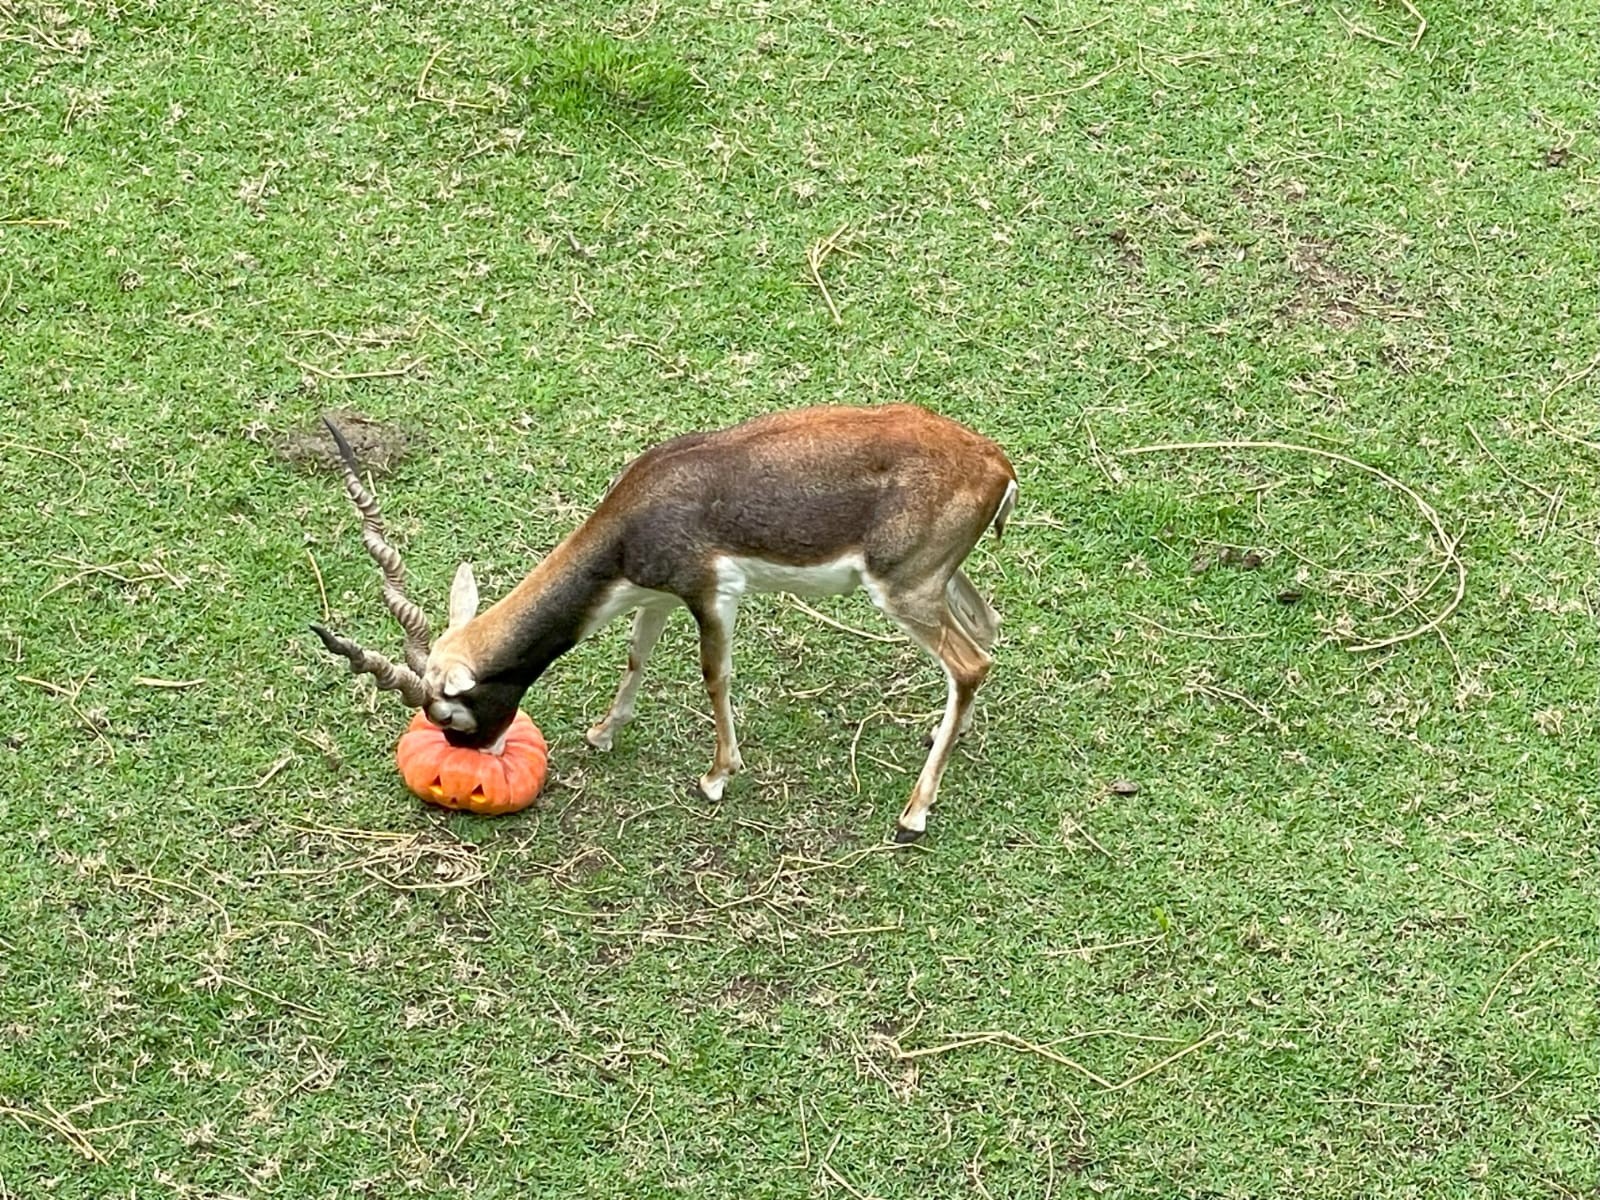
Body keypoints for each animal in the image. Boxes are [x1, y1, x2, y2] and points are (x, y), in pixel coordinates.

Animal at [310, 401, 1011, 838]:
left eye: (450, 714)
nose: (474, 758)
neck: (634, 521)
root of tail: (997, 466)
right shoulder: (657, 597)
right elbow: (636, 656)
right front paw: (602, 733)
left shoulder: (710, 594)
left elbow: (714, 676)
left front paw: (717, 777)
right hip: (936, 583)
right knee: (989, 630)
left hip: (902, 593)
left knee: (971, 662)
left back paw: (914, 814)